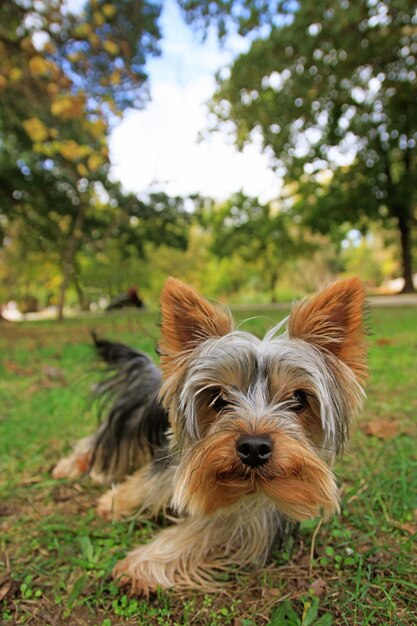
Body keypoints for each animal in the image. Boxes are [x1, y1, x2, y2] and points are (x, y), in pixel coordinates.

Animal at [52, 276, 368, 588]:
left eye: (299, 399)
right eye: (217, 398)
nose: (254, 447)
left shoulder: (249, 515)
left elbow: (201, 532)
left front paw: (140, 565)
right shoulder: (168, 464)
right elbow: (144, 484)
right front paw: (115, 502)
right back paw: (70, 465)